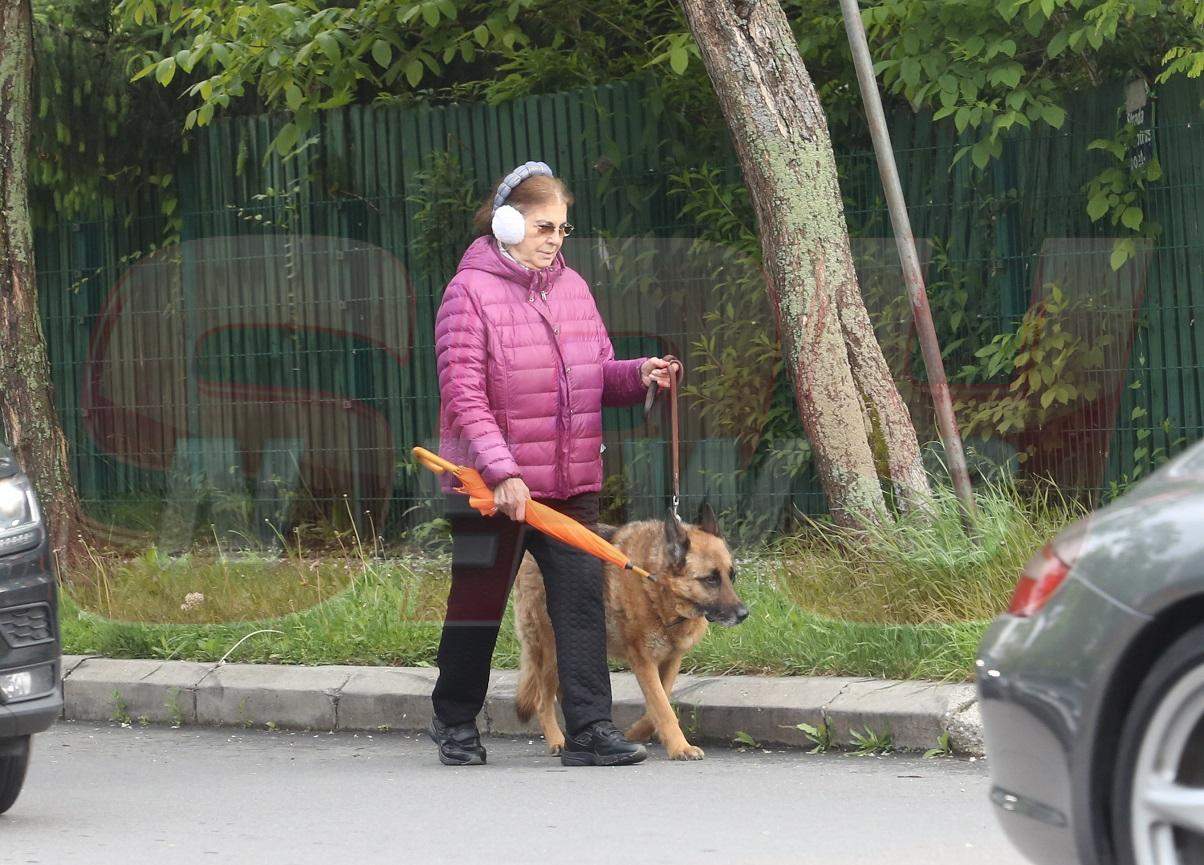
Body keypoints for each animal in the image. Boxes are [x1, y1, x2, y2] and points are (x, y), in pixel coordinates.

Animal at [515, 505, 746, 761]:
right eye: (710, 579)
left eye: (731, 576)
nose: (744, 614)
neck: (656, 587)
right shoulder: (643, 661)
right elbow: (663, 707)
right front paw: (680, 747)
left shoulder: (671, 660)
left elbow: (661, 699)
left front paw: (636, 733)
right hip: (553, 652)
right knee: (541, 701)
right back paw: (557, 740)